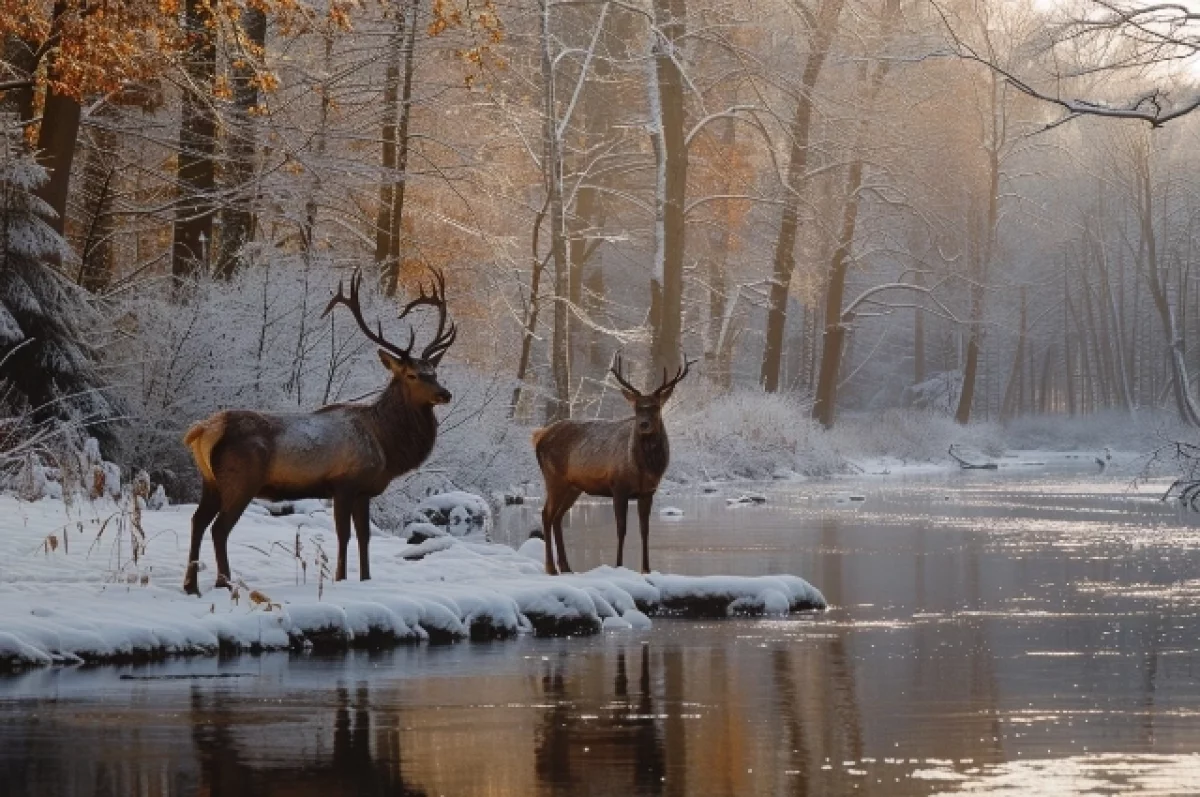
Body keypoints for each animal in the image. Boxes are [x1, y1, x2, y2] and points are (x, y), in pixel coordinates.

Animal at [180, 264, 456, 595]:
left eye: (434, 372)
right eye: (413, 375)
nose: (445, 394)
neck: (385, 445)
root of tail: (203, 431)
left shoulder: (364, 491)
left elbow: (365, 536)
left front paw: (366, 579)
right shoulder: (344, 483)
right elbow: (344, 535)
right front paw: (340, 578)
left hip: (210, 481)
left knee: (197, 521)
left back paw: (191, 585)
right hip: (240, 480)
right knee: (219, 528)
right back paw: (224, 583)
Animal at [532, 357, 696, 576]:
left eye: (655, 407)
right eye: (636, 408)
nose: (643, 424)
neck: (644, 468)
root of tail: (539, 437)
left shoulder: (648, 491)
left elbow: (645, 529)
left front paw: (646, 569)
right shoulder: (618, 486)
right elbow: (621, 527)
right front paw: (618, 565)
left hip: (573, 486)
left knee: (558, 517)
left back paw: (566, 567)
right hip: (553, 477)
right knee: (546, 514)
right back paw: (551, 568)